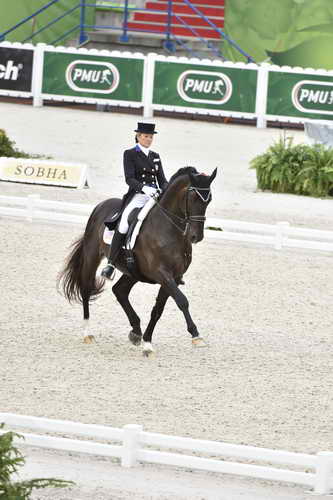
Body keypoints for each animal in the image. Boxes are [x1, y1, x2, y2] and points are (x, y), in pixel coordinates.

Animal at [58, 165, 217, 356]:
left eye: (209, 200)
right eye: (193, 197)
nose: (196, 236)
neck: (170, 230)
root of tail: (101, 205)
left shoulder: (174, 277)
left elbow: (158, 310)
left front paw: (147, 342)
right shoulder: (162, 274)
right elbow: (182, 301)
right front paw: (196, 335)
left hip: (133, 271)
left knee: (120, 291)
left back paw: (136, 332)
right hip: (92, 256)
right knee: (86, 289)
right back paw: (88, 333)